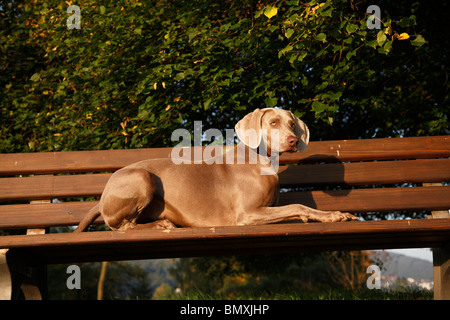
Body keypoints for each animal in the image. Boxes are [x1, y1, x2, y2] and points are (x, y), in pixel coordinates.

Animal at [75, 108, 356, 232]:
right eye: (274, 122)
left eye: (292, 124)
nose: (293, 141)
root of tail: (103, 195)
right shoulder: (247, 214)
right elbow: (298, 205)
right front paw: (332, 215)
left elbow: (296, 210)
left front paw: (333, 215)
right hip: (143, 178)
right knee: (122, 226)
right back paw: (161, 225)